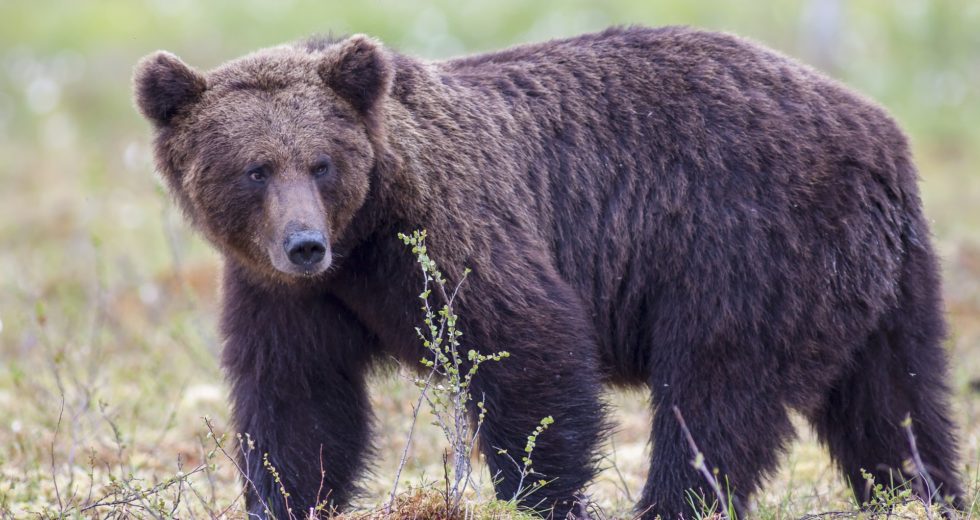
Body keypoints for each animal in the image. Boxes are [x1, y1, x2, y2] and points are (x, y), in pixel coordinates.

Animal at [133, 26, 962, 519]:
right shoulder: (288, 296)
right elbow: (298, 405)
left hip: (746, 248)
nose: (304, 243)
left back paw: (674, 499)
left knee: (716, 399)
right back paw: (923, 495)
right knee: (895, 406)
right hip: (882, 283)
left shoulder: (453, 230)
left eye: (320, 163)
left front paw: (542, 493)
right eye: (253, 169)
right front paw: (286, 496)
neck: (364, 236)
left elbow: (530, 352)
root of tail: (879, 131)